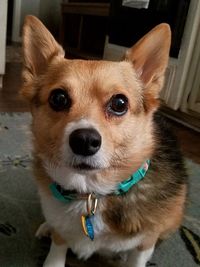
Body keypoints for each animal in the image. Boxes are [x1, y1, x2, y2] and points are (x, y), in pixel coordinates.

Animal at [20, 15, 188, 266]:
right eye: (58, 98)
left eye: (119, 103)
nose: (84, 141)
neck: (92, 194)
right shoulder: (61, 231)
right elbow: (57, 249)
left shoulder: (144, 243)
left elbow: (137, 255)